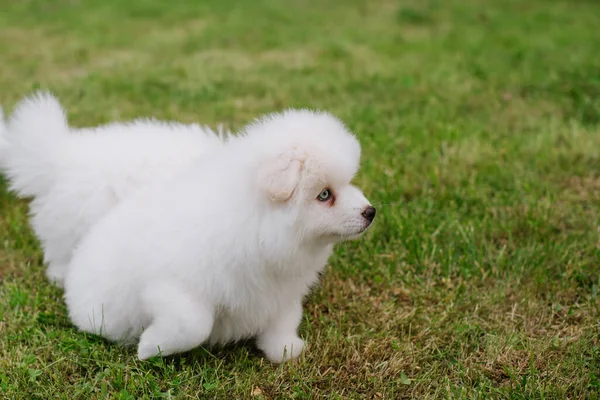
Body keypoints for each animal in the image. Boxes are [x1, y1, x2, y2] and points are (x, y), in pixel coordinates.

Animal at [64, 108, 376, 364]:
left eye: (348, 183)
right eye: (324, 195)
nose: (370, 212)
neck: (257, 228)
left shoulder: (282, 290)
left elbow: (285, 319)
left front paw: (285, 349)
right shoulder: (171, 288)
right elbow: (194, 325)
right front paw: (150, 347)